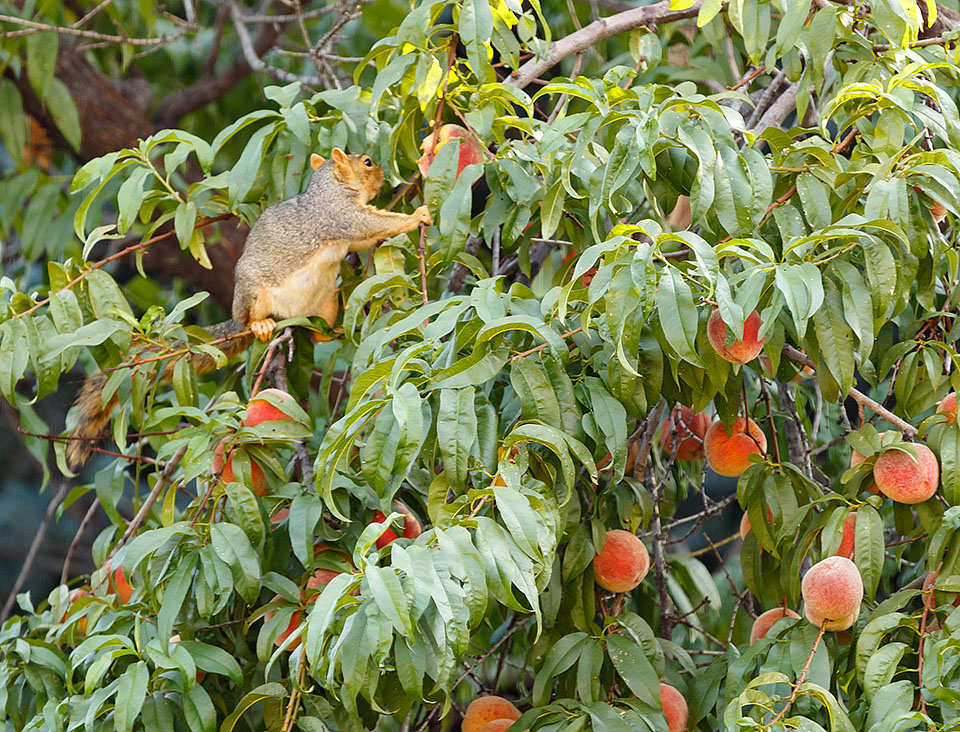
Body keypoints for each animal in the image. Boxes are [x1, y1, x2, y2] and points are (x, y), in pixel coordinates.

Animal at [65, 149, 430, 468]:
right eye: (367, 162)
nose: (384, 176)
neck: (329, 188)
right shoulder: (339, 216)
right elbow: (370, 226)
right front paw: (416, 216)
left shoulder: (345, 233)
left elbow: (361, 241)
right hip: (253, 293)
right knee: (253, 318)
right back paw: (261, 326)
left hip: (323, 301)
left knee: (320, 332)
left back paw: (334, 327)